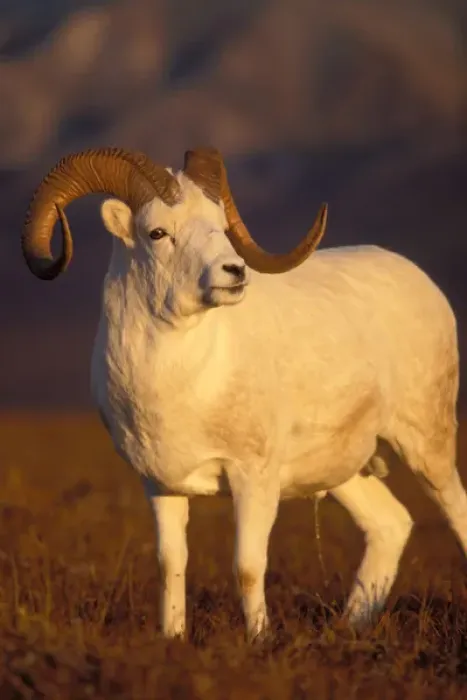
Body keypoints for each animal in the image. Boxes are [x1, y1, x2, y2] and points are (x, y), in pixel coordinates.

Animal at [22, 146, 467, 642]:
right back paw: (347, 630)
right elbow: (171, 564)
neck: (182, 384)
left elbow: (249, 568)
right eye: (158, 232)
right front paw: (173, 638)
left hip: (427, 447)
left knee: (456, 513)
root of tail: (421, 281)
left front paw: (260, 641)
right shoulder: (160, 487)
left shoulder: (253, 480)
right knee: (391, 524)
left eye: (219, 224)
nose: (233, 272)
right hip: (346, 472)